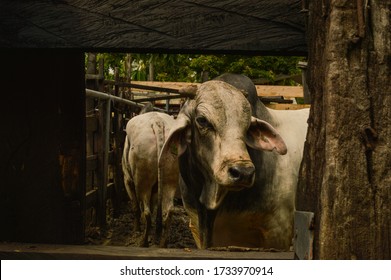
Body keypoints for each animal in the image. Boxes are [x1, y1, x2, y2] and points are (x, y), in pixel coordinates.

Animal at [122, 111, 179, 247]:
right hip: (170, 179)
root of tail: (157, 122)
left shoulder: (127, 179)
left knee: (147, 212)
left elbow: (135, 207)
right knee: (169, 210)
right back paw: (163, 243)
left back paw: (143, 241)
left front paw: (136, 230)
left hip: (143, 179)